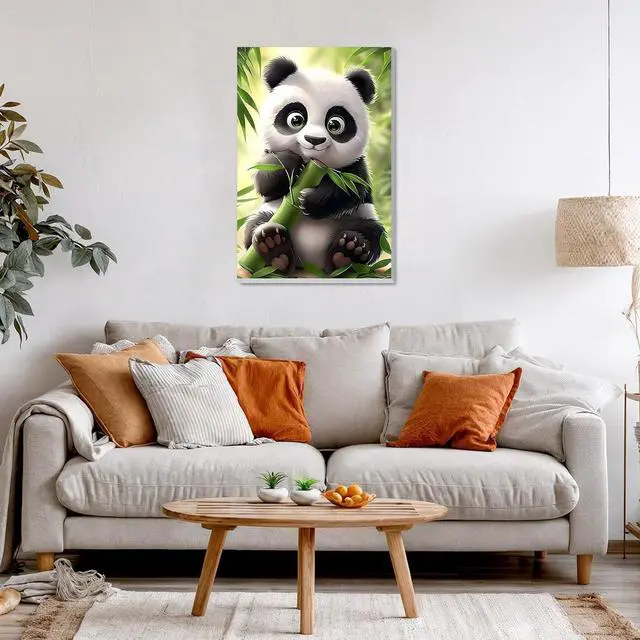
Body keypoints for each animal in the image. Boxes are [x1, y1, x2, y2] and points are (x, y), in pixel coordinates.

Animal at [243, 56, 386, 275]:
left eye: (335, 124)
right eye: (296, 119)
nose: (314, 140)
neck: (312, 163)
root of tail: (311, 264)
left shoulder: (354, 167)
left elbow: (351, 189)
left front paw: (308, 200)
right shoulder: (269, 157)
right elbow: (265, 180)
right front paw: (291, 164)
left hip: (360, 217)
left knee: (372, 232)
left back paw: (347, 252)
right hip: (273, 215)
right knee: (256, 225)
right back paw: (275, 250)